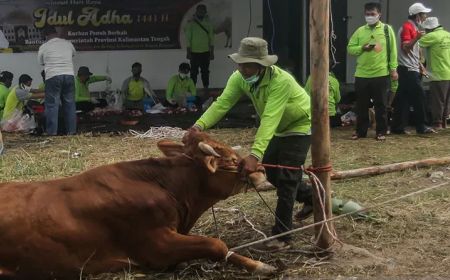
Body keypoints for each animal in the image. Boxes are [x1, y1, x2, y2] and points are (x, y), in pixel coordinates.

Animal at [0, 132, 274, 280]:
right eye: (229, 158)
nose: (261, 169)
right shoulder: (155, 247)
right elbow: (216, 244)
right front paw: (258, 265)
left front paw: (261, 265)